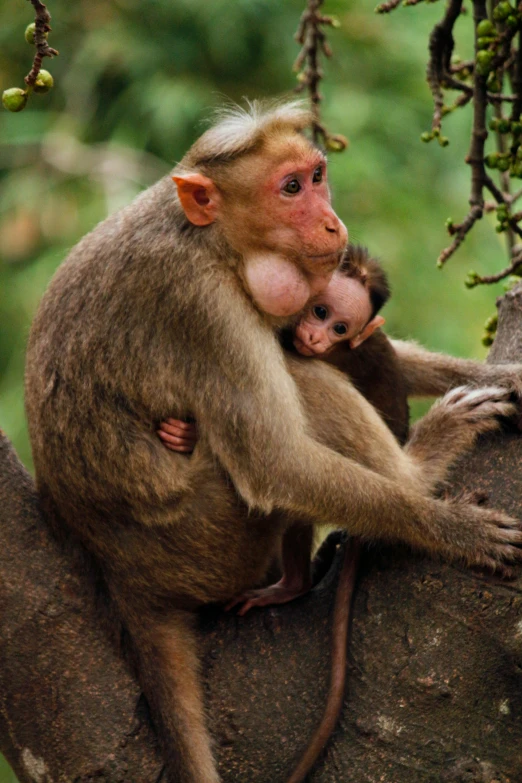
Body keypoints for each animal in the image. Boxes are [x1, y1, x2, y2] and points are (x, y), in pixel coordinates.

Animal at [26, 104, 520, 783]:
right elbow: (273, 463)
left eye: (316, 176)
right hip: (212, 538)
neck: (211, 242)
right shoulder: (202, 308)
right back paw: (418, 471)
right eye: (289, 189)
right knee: (299, 383)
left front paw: (504, 375)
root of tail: (126, 577)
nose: (332, 221)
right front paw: (450, 527)